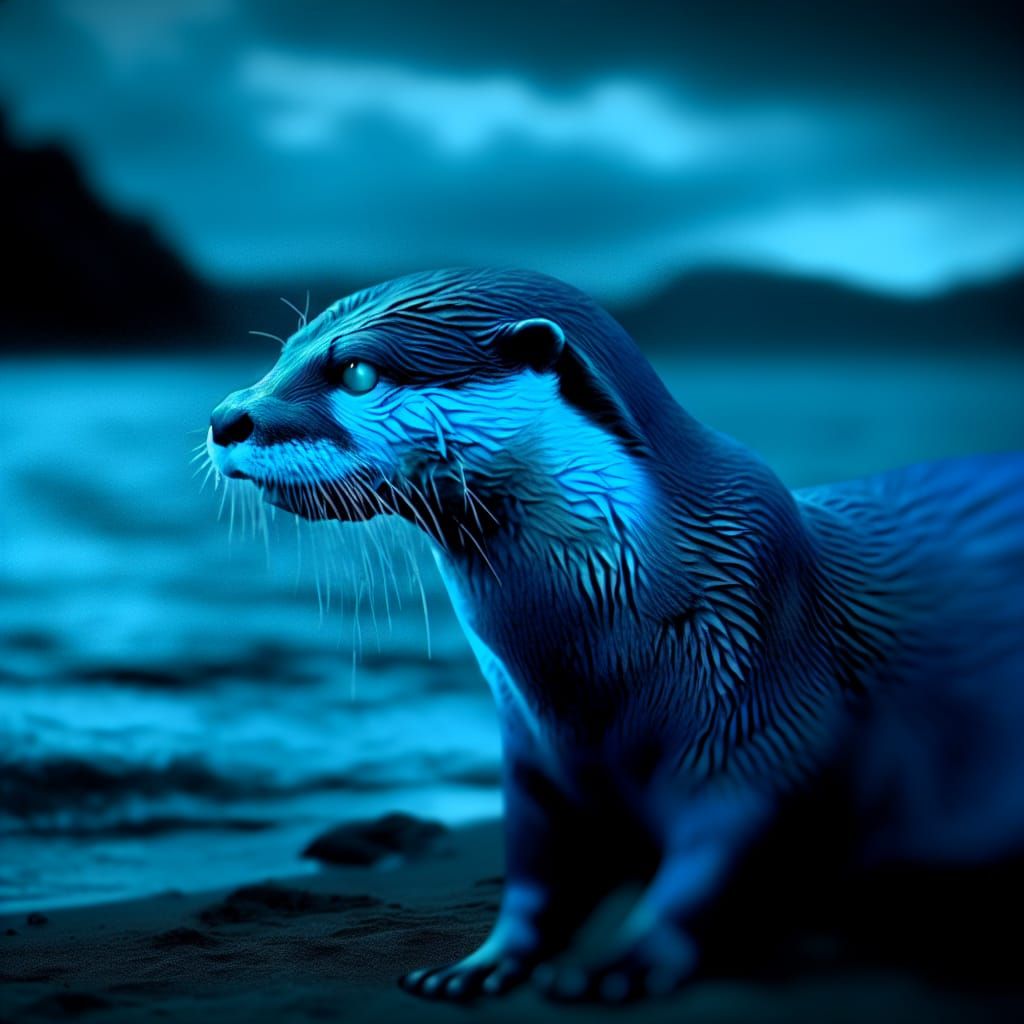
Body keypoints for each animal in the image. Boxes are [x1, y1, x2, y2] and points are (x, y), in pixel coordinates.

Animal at [207, 268, 1024, 1003]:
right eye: (283, 352)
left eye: (358, 371)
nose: (225, 417)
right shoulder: (531, 757)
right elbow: (534, 868)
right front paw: (482, 962)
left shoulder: (764, 710)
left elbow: (720, 850)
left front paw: (621, 959)